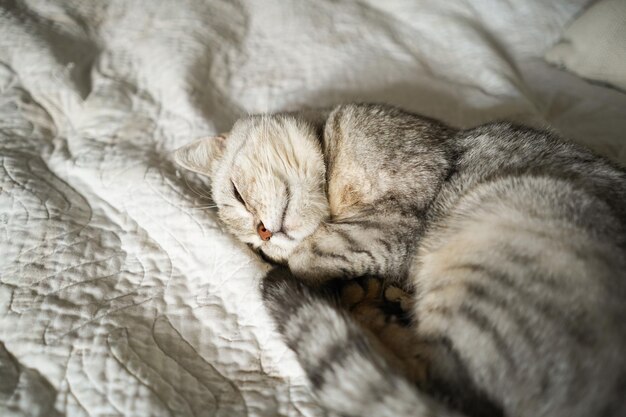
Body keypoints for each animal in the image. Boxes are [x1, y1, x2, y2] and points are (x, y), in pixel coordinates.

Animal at [173, 104, 624, 416]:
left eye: (236, 193)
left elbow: (309, 253)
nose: (263, 233)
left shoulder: (395, 221)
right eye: (256, 248)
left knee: (427, 369)